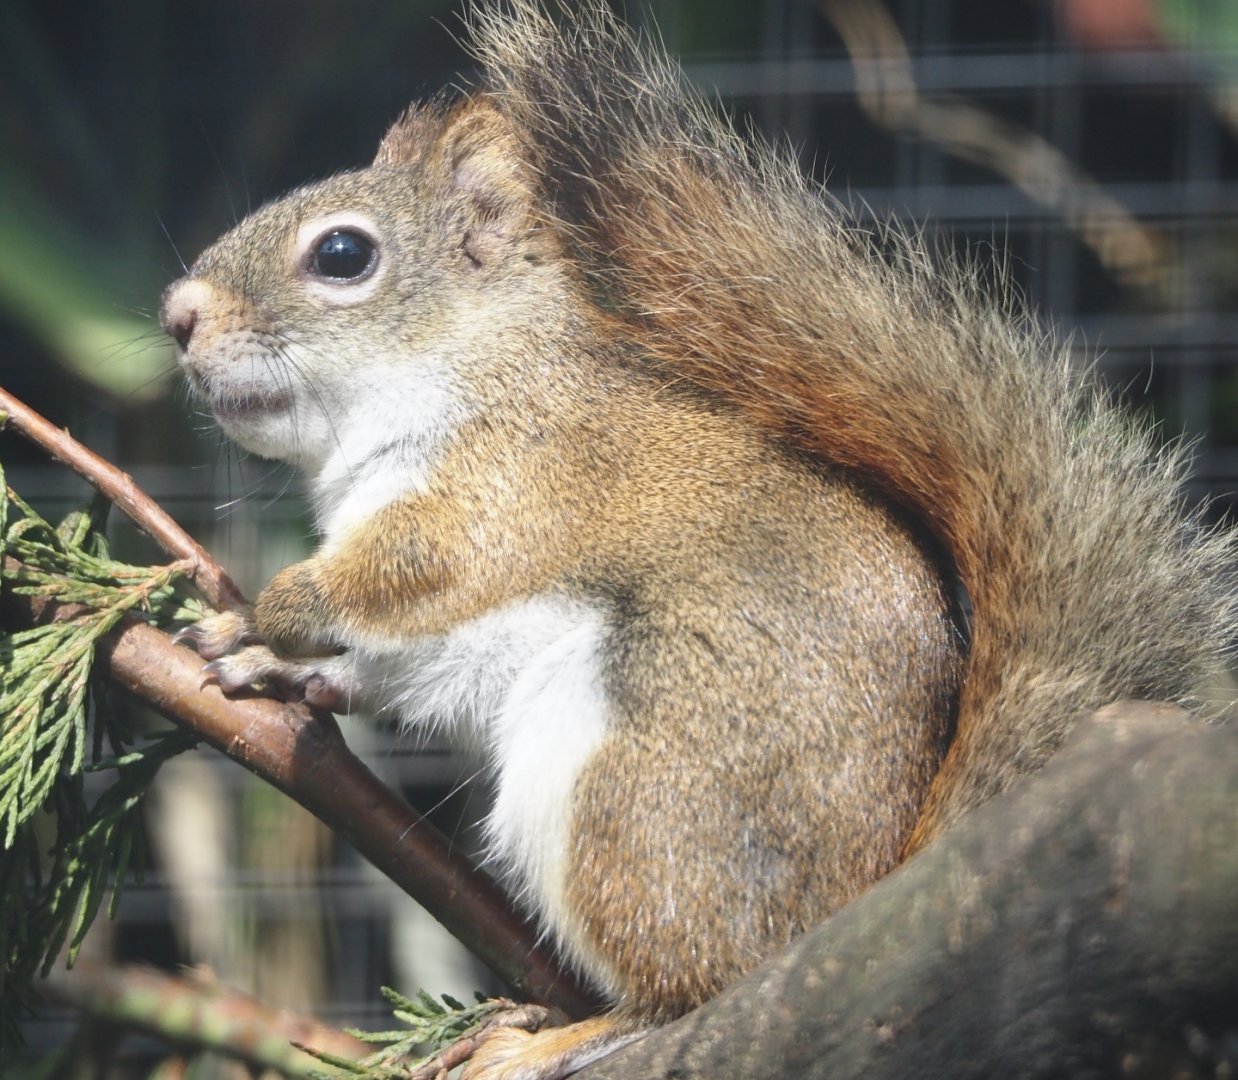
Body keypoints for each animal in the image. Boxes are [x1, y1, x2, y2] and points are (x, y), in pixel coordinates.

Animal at [161, 2, 1236, 1077]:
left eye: (342, 255)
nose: (176, 316)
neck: (465, 362)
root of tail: (853, 907)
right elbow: (382, 666)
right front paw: (264, 657)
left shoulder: (516, 478)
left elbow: (417, 572)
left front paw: (279, 604)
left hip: (640, 792)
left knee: (691, 983)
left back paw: (562, 1035)